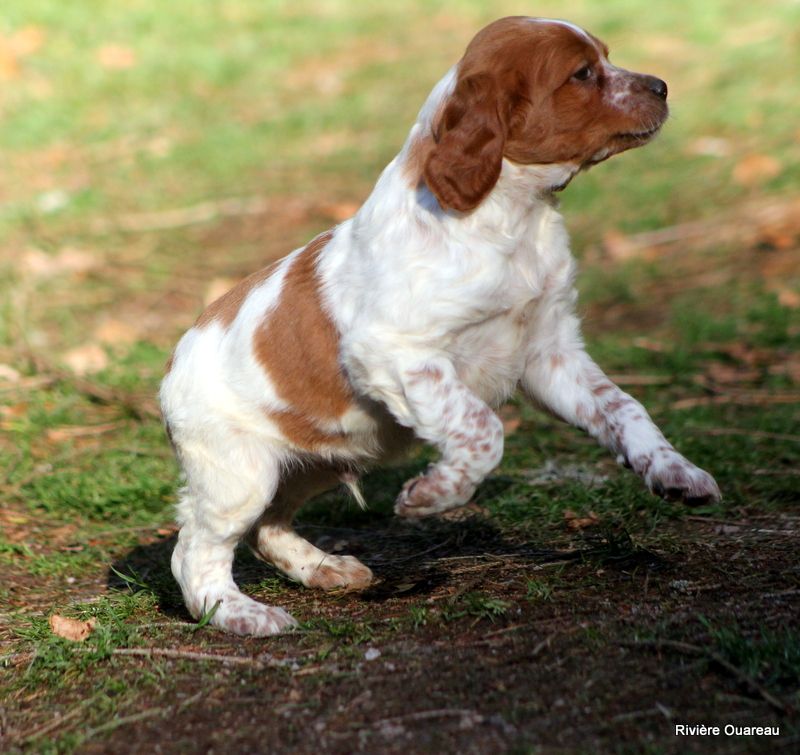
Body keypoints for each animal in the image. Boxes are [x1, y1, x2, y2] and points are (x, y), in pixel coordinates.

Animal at [159, 14, 720, 636]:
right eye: (581, 73)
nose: (662, 87)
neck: (512, 215)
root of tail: (175, 357)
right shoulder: (398, 354)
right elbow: (482, 429)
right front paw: (435, 494)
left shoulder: (550, 351)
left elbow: (625, 407)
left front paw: (676, 472)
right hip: (239, 472)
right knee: (196, 549)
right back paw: (238, 612)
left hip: (311, 461)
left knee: (268, 526)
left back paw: (325, 568)